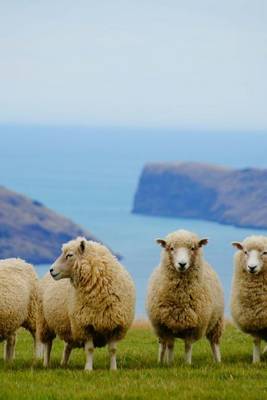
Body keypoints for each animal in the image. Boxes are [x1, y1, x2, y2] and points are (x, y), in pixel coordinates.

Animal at [38, 236, 136, 370]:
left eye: (69, 255)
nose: (51, 270)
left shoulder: (115, 324)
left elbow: (113, 350)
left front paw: (113, 369)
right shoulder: (85, 324)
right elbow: (89, 349)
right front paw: (88, 369)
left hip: (69, 326)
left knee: (67, 346)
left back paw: (64, 364)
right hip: (46, 322)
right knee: (48, 344)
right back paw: (46, 364)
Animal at [148, 230, 225, 364]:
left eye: (193, 248)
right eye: (171, 248)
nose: (182, 264)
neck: (180, 297)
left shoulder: (193, 325)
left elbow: (188, 346)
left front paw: (187, 363)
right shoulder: (166, 325)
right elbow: (170, 346)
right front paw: (169, 363)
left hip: (217, 322)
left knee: (214, 343)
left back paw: (218, 361)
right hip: (159, 329)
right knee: (162, 345)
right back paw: (160, 361)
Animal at [231, 234, 267, 362]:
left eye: (265, 252)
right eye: (245, 252)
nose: (252, 267)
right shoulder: (254, 319)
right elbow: (256, 340)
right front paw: (256, 361)